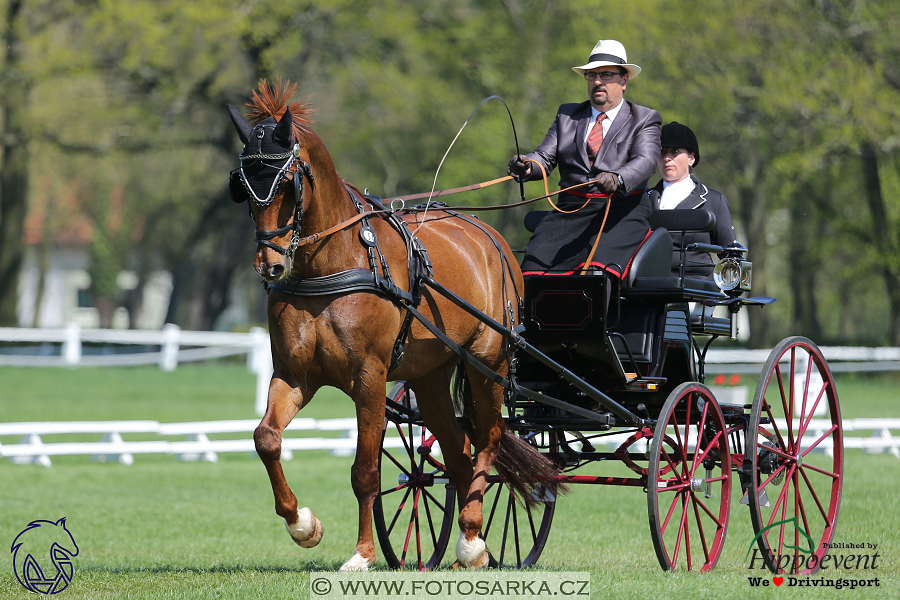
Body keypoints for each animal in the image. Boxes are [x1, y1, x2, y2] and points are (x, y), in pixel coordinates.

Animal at [229, 81, 552, 572]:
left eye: (286, 183)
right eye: (242, 187)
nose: (270, 265)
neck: (333, 264)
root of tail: (489, 236)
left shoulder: (370, 378)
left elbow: (366, 471)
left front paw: (361, 554)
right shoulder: (294, 375)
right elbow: (266, 438)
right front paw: (303, 524)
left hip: (488, 364)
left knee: (489, 439)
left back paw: (472, 538)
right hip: (430, 376)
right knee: (458, 452)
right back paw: (469, 544)